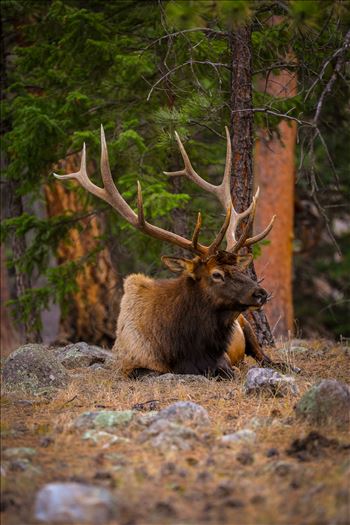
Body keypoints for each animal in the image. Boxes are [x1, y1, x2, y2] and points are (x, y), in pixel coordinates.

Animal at [54, 126, 290, 378]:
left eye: (239, 269)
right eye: (216, 274)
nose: (261, 293)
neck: (184, 348)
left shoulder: (222, 358)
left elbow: (230, 369)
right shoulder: (128, 364)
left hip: (247, 326)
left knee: (265, 357)